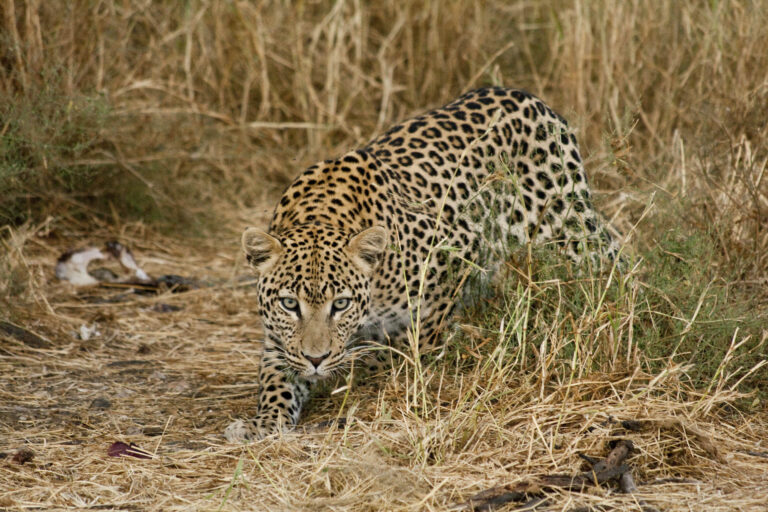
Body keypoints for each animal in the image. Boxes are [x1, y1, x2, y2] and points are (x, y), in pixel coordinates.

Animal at [225, 86, 620, 442]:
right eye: (289, 304)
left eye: (341, 304)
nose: (316, 359)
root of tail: (524, 96)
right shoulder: (279, 341)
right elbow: (276, 378)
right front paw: (263, 422)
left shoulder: (456, 254)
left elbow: (411, 341)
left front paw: (378, 362)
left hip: (568, 229)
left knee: (610, 256)